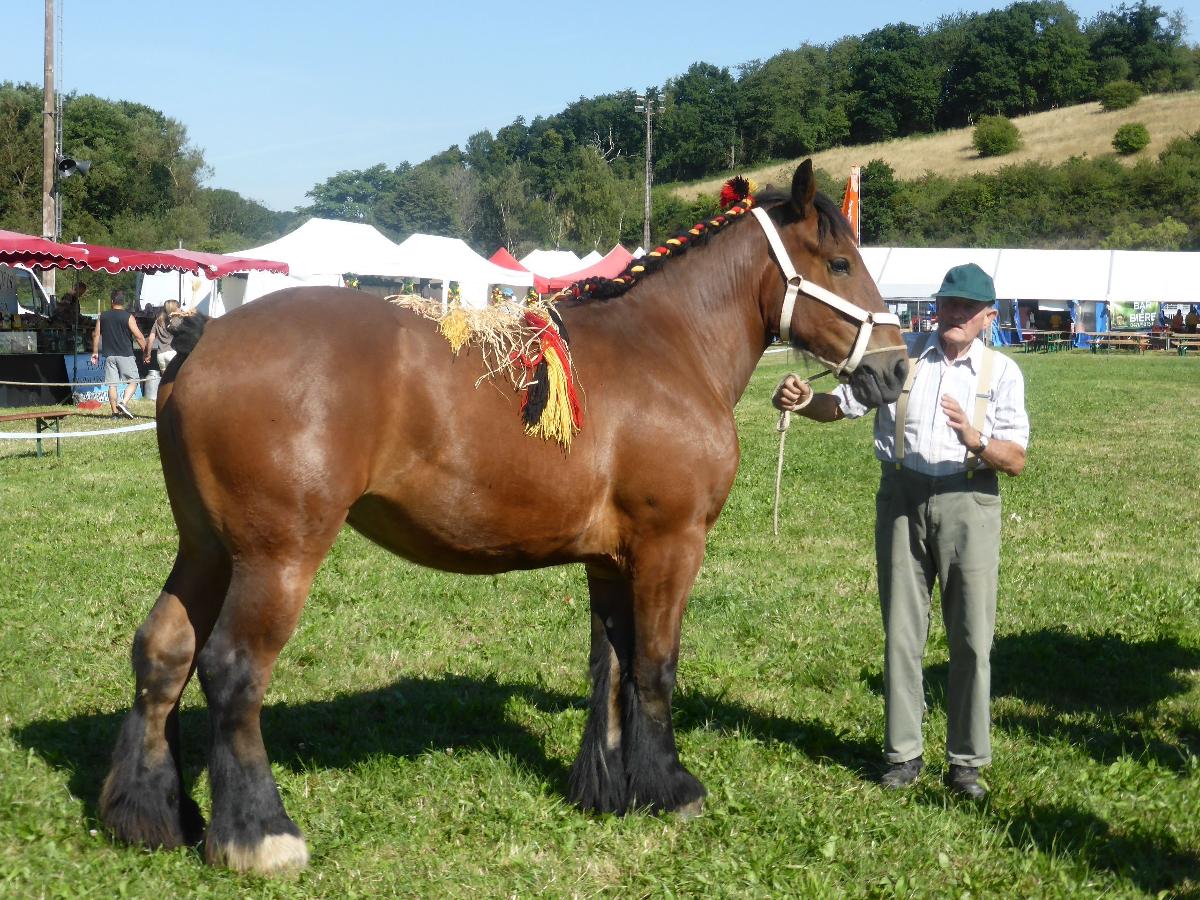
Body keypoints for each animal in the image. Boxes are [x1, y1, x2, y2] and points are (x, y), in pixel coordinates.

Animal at [103, 160, 902, 873]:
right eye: (838, 261)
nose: (894, 367)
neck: (665, 348)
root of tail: (204, 340)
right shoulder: (670, 544)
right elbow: (654, 665)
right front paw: (670, 789)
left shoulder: (611, 558)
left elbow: (610, 664)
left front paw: (606, 789)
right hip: (276, 558)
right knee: (233, 669)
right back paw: (259, 835)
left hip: (207, 549)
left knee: (164, 651)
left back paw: (147, 815)